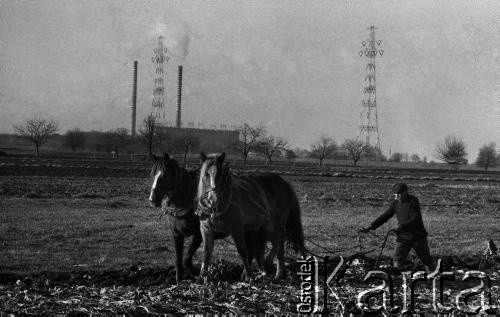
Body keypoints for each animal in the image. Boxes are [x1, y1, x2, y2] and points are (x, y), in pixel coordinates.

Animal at [148, 153, 266, 282]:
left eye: (164, 176)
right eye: (152, 174)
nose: (152, 199)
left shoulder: (199, 235)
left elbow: (187, 259)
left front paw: (197, 273)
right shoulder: (177, 234)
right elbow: (178, 260)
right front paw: (179, 280)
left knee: (251, 251)